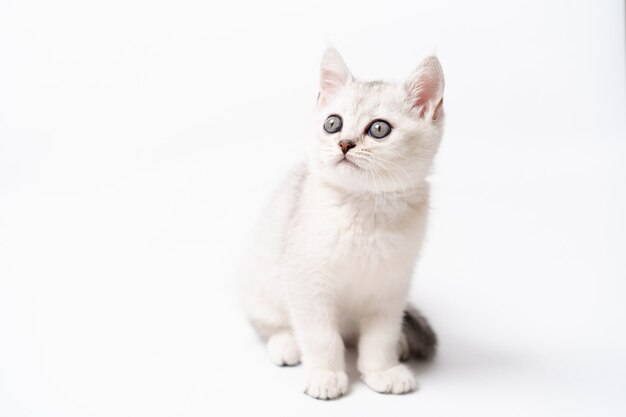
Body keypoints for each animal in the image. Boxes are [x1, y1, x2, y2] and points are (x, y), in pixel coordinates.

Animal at [236, 47, 442, 398]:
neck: (364, 209)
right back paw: (285, 343)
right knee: (271, 323)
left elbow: (380, 338)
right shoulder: (307, 284)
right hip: (262, 284)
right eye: (333, 123)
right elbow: (321, 337)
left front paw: (382, 370)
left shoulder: (390, 291)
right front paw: (326, 375)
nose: (344, 143)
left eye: (379, 129)